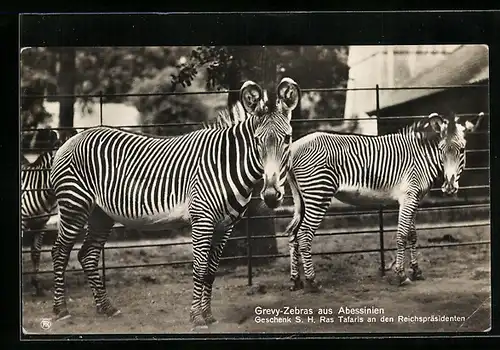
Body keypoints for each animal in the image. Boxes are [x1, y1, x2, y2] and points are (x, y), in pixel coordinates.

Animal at [48, 78, 298, 330]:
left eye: (287, 138)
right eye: (257, 140)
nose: (271, 195)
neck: (226, 163)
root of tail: (70, 140)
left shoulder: (225, 226)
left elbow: (211, 271)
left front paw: (208, 315)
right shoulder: (202, 220)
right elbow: (199, 268)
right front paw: (196, 318)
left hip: (101, 214)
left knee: (87, 254)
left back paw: (106, 307)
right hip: (74, 205)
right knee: (59, 252)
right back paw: (61, 310)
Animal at [286, 113, 484, 292]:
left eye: (462, 150)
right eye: (441, 150)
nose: (449, 187)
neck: (422, 157)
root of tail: (294, 147)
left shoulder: (414, 198)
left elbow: (412, 235)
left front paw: (416, 271)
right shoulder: (408, 197)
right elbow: (402, 235)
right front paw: (401, 275)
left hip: (303, 198)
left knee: (294, 234)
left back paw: (296, 281)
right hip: (319, 193)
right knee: (304, 234)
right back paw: (312, 282)